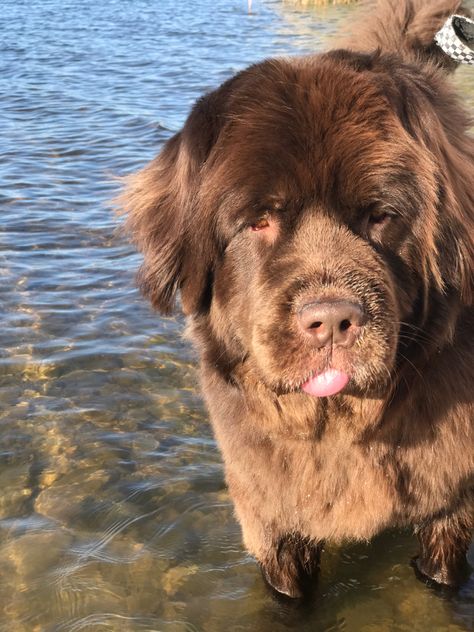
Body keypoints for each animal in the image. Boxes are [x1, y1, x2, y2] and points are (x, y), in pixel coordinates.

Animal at [121, 0, 474, 596]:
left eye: (380, 215)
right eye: (259, 220)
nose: (331, 320)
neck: (340, 428)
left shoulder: (453, 503)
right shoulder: (272, 515)